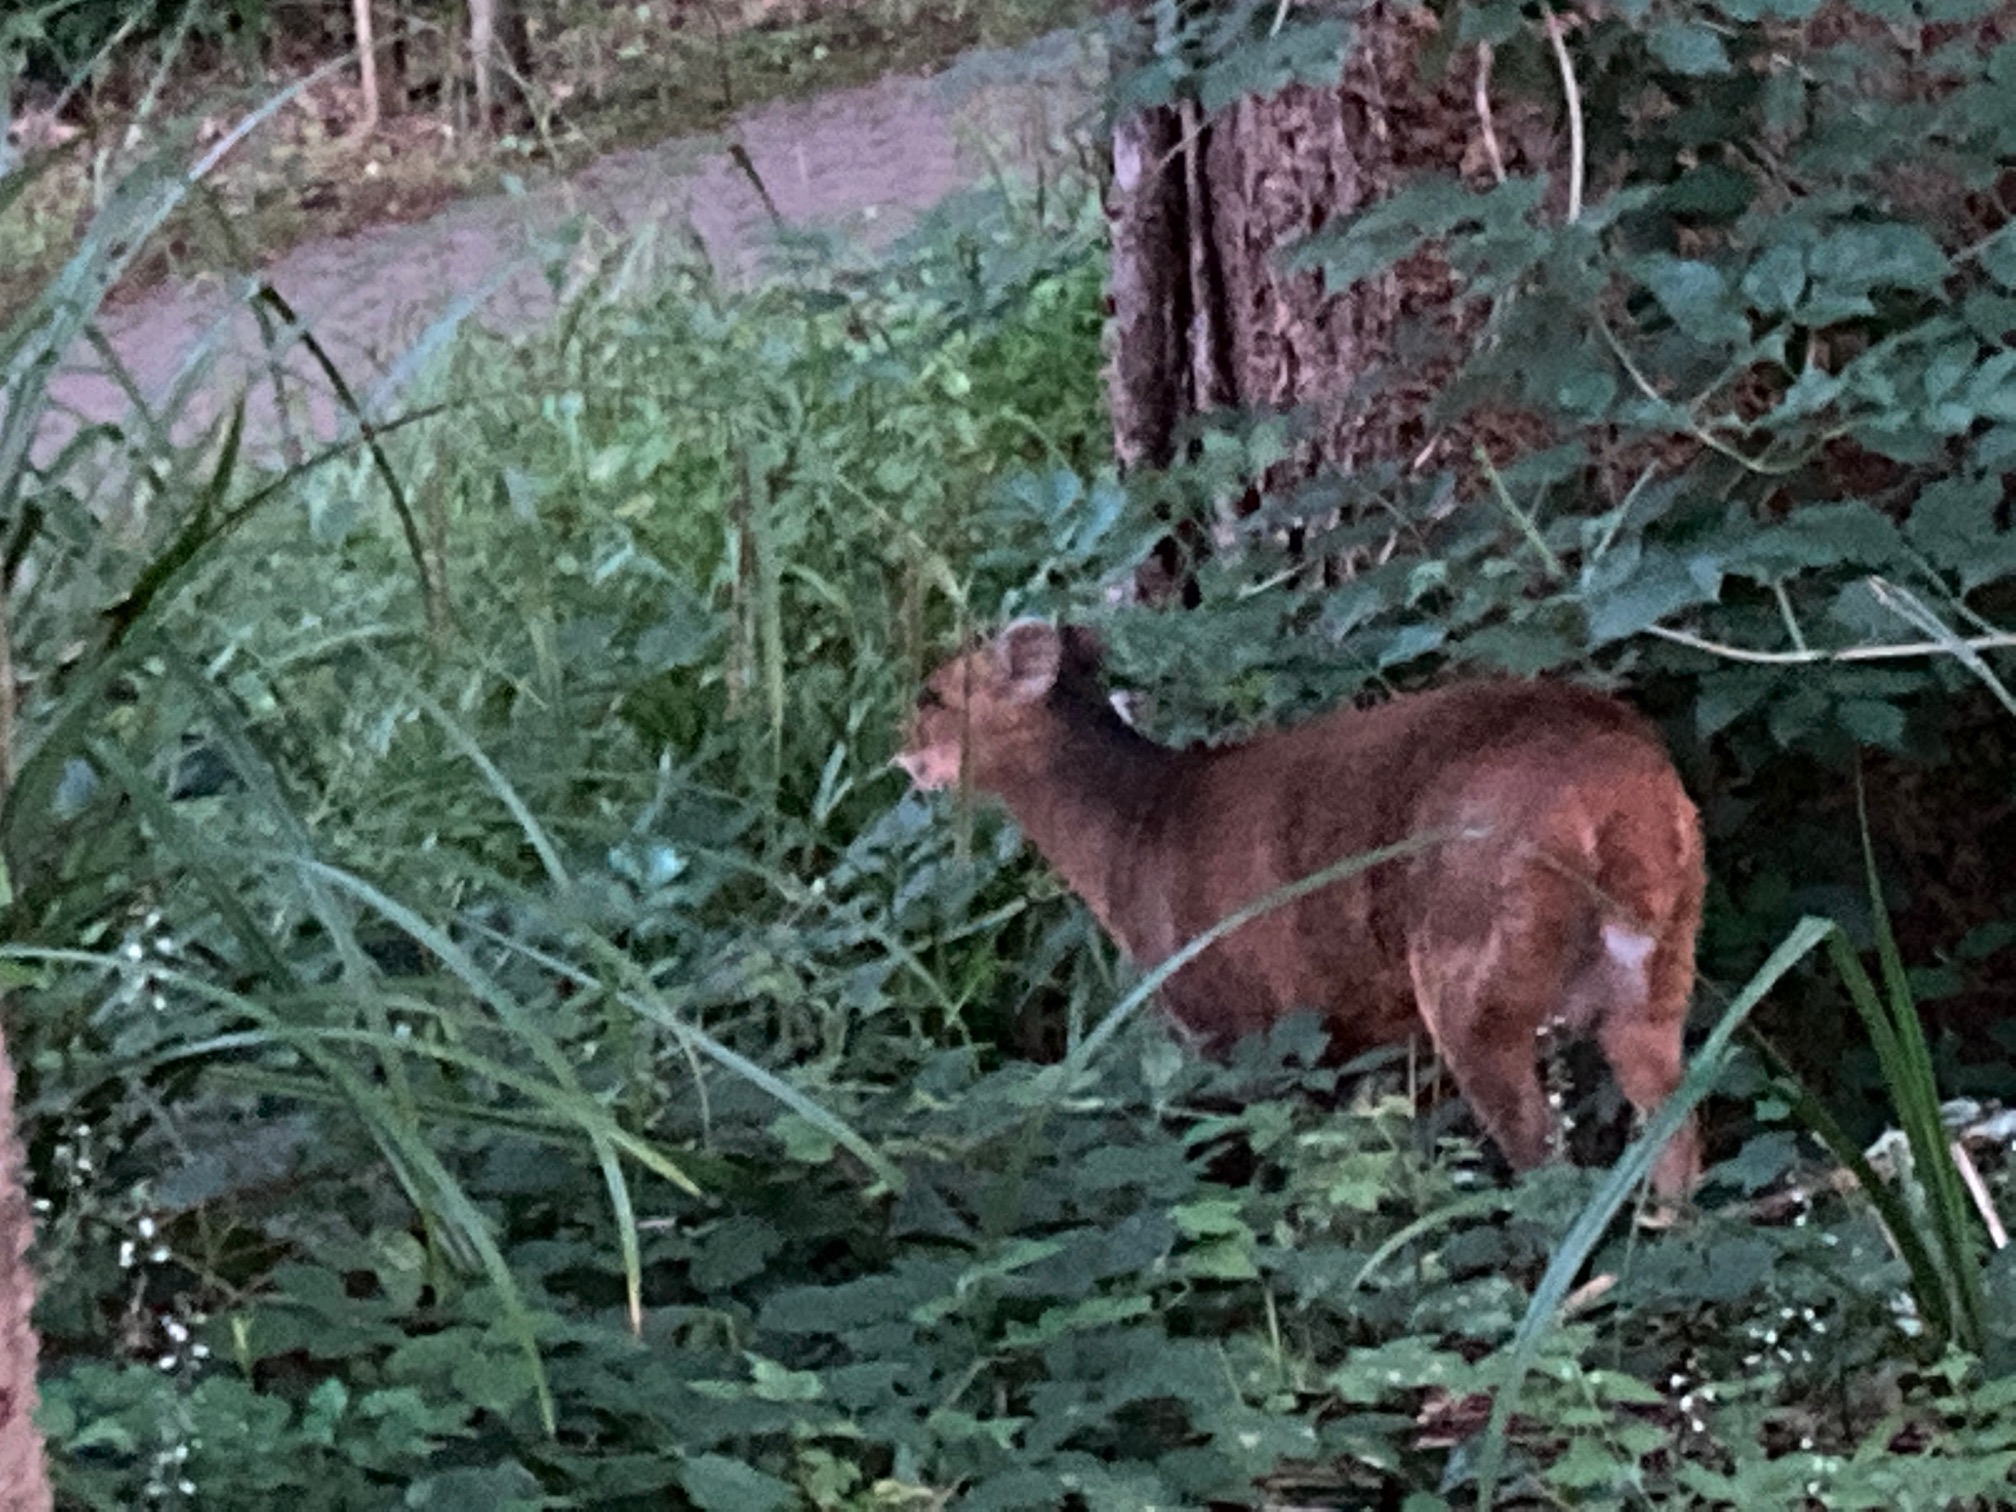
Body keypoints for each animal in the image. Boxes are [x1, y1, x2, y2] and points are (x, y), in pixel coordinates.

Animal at [895, 620, 1708, 1198]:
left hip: (1469, 964)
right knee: (1676, 1125)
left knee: (1544, 1151)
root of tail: (1618, 777)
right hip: (1658, 963)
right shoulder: (1333, 1030)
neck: (1131, 833)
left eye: (933, 694)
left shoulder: (1226, 1017)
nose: (900, 751)